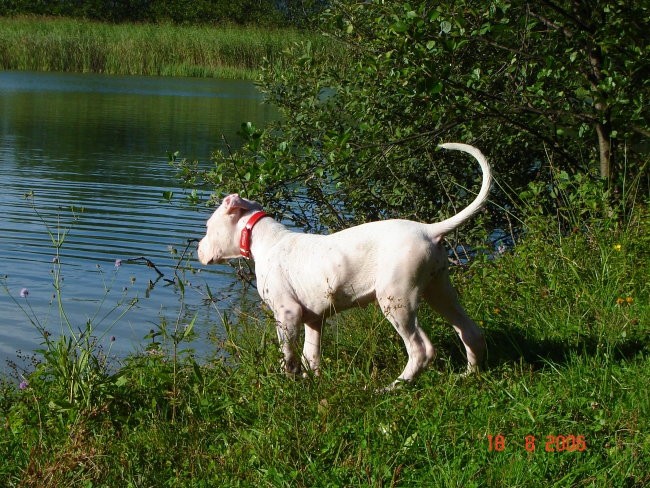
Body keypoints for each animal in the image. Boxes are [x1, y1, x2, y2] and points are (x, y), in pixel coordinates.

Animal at [199, 142, 492, 388]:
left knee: (421, 349)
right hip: (439, 290)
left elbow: (289, 355)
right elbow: (310, 355)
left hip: (397, 300)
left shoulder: (287, 313)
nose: (198, 250)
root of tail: (428, 230)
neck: (266, 240)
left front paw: (287, 383)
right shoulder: (313, 319)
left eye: (208, 227)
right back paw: (468, 376)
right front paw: (311, 383)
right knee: (470, 333)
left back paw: (392, 387)